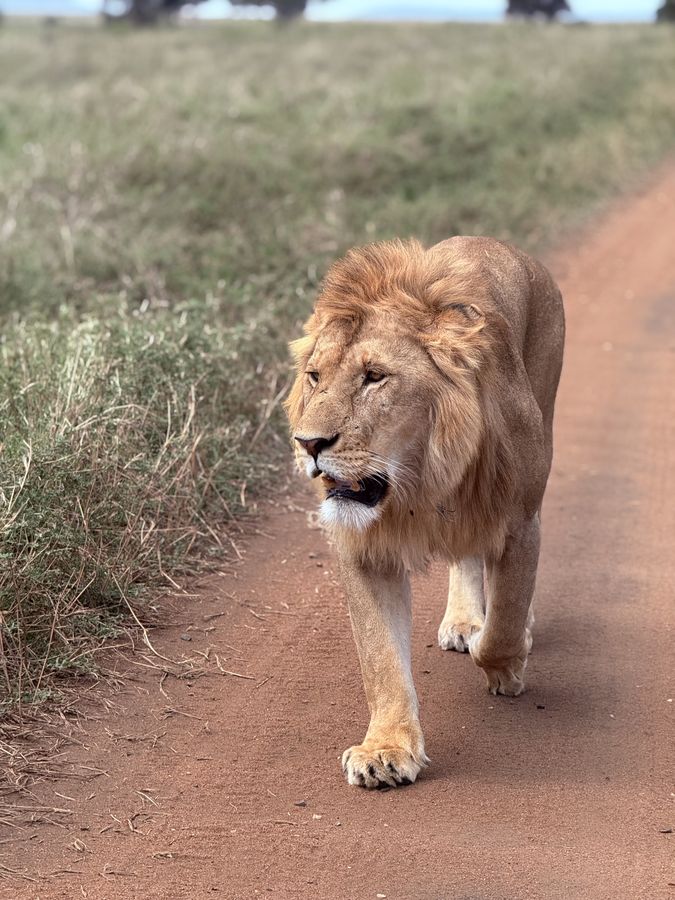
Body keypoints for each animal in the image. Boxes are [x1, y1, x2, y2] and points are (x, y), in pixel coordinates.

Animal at [285, 236, 564, 789]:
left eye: (374, 378)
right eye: (314, 376)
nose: (308, 444)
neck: (418, 478)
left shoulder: (519, 522)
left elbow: (504, 621)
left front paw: (506, 663)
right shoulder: (364, 548)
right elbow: (380, 659)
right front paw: (387, 750)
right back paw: (462, 619)